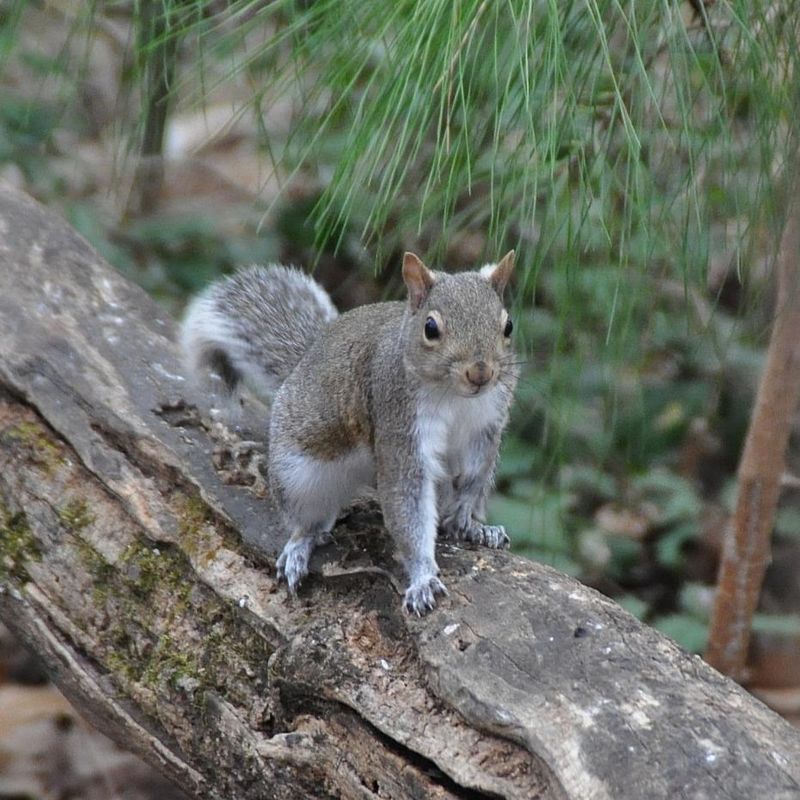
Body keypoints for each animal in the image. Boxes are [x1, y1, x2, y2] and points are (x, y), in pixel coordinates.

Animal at [180, 251, 518, 615]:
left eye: (508, 325)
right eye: (431, 328)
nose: (480, 373)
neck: (454, 397)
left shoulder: (485, 429)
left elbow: (472, 480)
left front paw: (468, 521)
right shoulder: (398, 424)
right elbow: (407, 505)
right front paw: (423, 578)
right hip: (297, 474)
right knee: (307, 519)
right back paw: (300, 546)